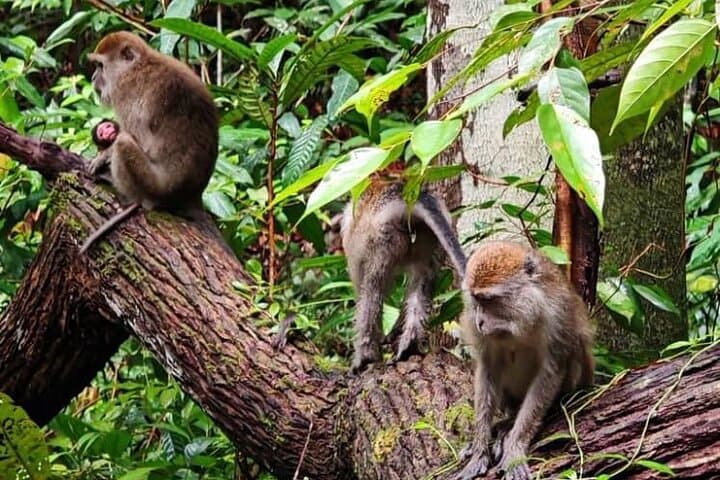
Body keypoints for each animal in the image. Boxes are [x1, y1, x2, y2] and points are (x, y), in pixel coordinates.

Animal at [80, 31, 218, 253]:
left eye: (100, 66)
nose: (93, 78)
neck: (139, 66)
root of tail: (191, 195)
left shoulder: (125, 94)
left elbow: (136, 139)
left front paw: (102, 157)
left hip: (152, 185)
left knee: (124, 143)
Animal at [341, 181, 467, 373]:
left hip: (380, 236)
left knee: (372, 289)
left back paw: (365, 355)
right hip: (427, 236)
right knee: (422, 281)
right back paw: (409, 345)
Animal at [452, 240, 594, 480]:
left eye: (488, 300)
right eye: (476, 300)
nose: (480, 322)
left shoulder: (557, 315)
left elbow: (550, 372)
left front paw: (515, 447)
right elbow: (488, 369)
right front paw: (479, 450)